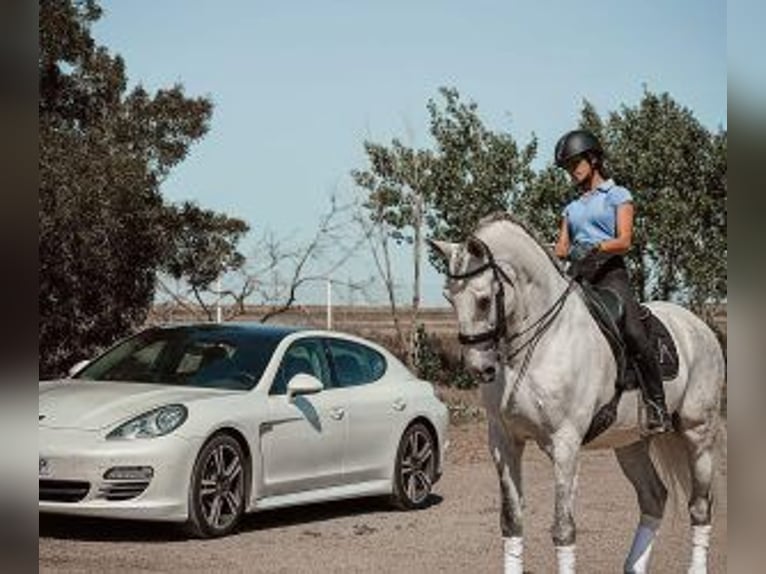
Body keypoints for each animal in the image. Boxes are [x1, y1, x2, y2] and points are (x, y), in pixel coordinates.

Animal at [432, 214, 728, 572]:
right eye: (450, 298)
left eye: (483, 300)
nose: (480, 369)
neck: (537, 344)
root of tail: (698, 325)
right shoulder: (503, 441)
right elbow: (511, 521)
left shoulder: (565, 443)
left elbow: (563, 529)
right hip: (630, 441)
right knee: (654, 497)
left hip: (698, 432)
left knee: (700, 505)